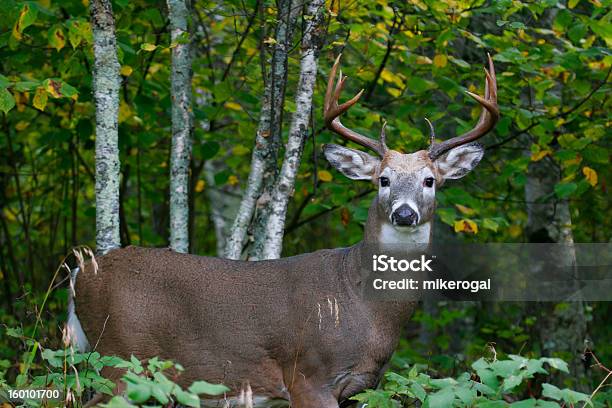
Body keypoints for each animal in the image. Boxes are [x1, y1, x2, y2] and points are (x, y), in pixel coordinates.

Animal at [68, 55, 498, 408]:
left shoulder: (357, 388)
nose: (404, 213)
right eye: (383, 180)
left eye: (429, 180)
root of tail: (79, 274)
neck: (367, 308)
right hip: (122, 356)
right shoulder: (307, 375)